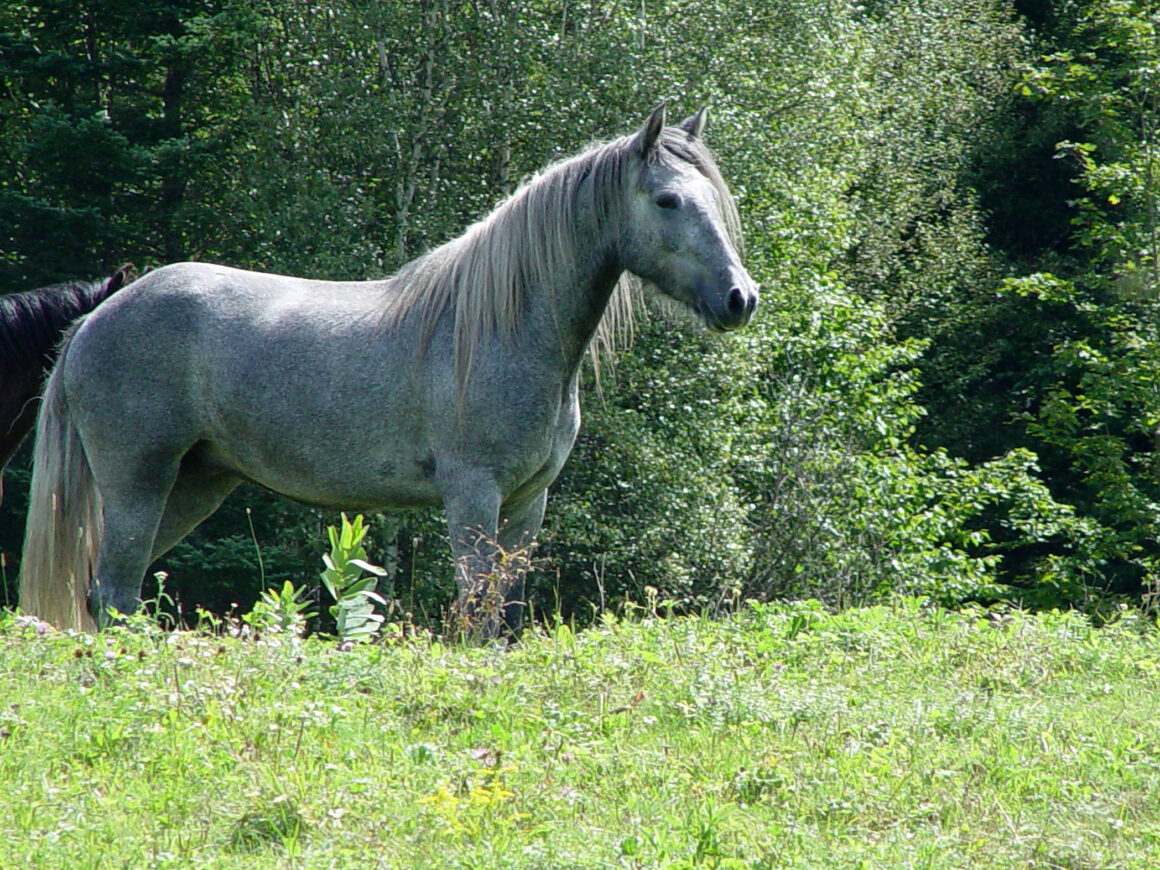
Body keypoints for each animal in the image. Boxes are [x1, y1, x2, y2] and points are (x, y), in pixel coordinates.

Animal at [22, 105, 760, 635]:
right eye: (667, 200)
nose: (740, 298)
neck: (498, 329)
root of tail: (95, 320)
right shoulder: (473, 495)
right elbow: (477, 618)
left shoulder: (528, 502)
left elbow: (508, 617)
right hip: (138, 480)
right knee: (115, 592)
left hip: (194, 485)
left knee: (105, 591)